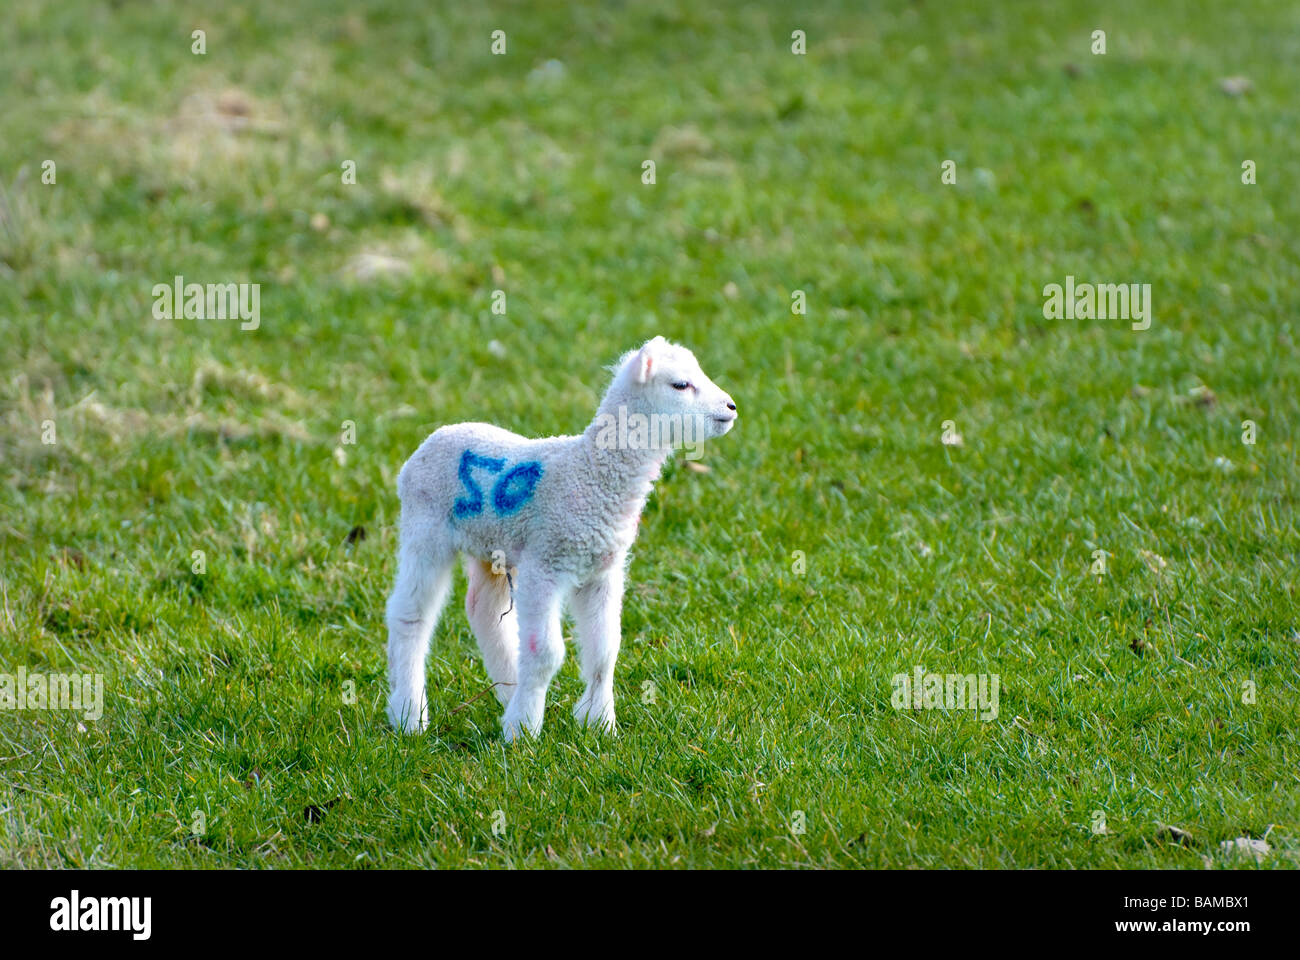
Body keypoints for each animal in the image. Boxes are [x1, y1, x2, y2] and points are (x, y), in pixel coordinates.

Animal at [385, 336, 738, 740]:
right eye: (681, 384)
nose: (731, 407)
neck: (591, 472)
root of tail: (433, 437)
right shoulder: (545, 564)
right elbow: (546, 653)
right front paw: (523, 732)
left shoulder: (602, 570)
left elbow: (605, 650)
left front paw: (600, 723)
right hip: (425, 527)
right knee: (410, 615)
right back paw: (410, 716)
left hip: (492, 543)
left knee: (483, 611)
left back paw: (508, 693)